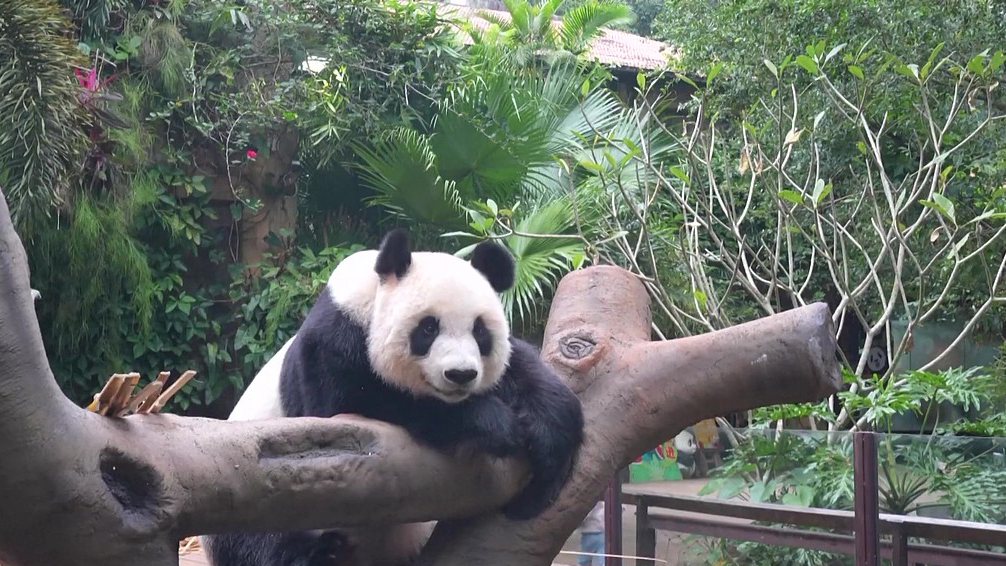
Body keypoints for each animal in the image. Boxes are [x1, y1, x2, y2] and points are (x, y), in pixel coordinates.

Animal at [203, 229, 585, 566]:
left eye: (480, 332)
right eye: (428, 328)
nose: (460, 375)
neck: (370, 295)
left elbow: (523, 373)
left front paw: (549, 438)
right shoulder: (332, 340)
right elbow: (350, 408)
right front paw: (495, 424)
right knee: (256, 539)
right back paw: (319, 554)